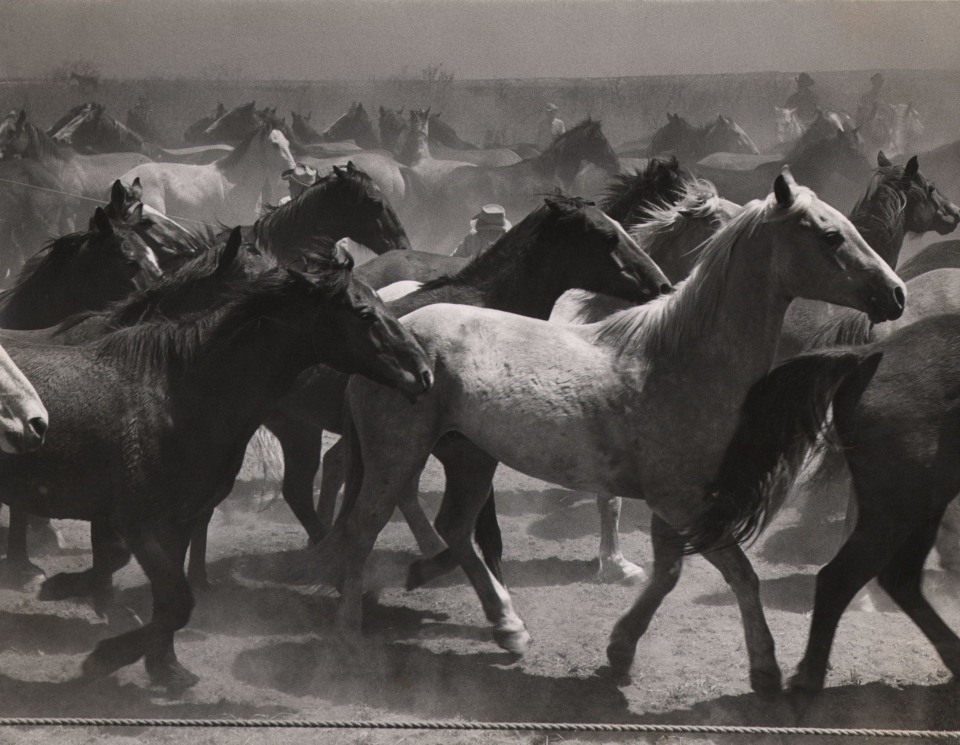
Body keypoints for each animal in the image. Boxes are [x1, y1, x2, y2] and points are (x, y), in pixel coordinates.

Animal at [316, 169, 908, 696]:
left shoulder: (673, 504)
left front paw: (621, 651)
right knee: (362, 530)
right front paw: (764, 670)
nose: (897, 294)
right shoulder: (681, 501)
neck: (682, 361)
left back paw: (507, 626)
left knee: (457, 530)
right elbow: (741, 575)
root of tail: (398, 338)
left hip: (470, 458)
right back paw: (349, 638)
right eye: (830, 235)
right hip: (398, 456)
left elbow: (668, 574)